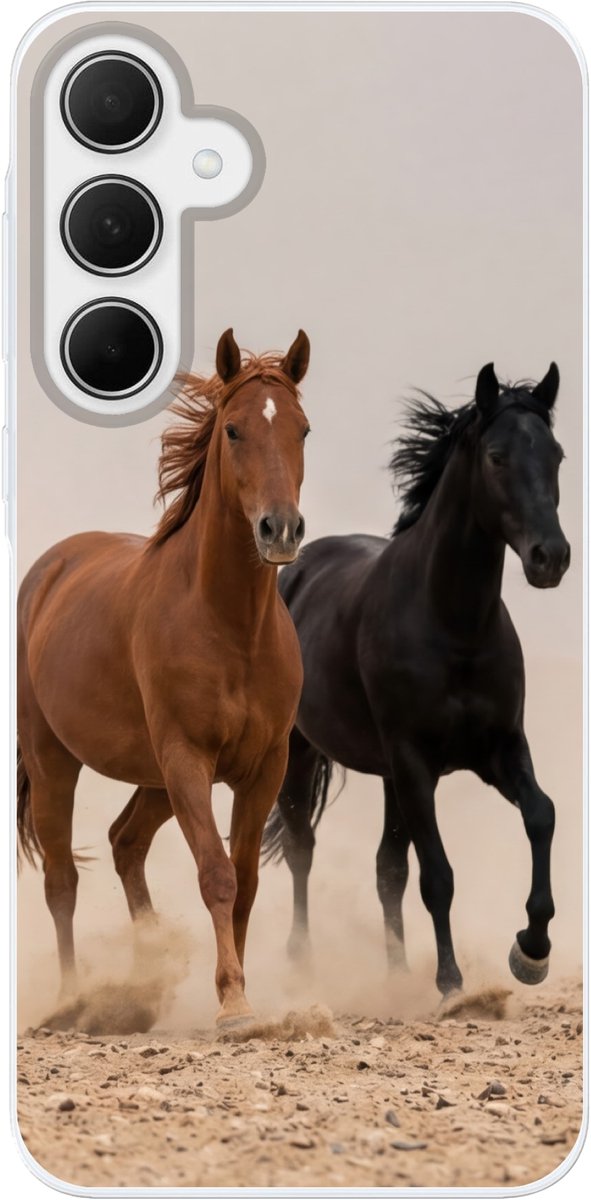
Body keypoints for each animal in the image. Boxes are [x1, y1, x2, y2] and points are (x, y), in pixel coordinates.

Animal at [17, 328, 311, 1026]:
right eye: (232, 429)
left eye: (303, 429)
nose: (281, 529)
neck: (231, 628)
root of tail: (50, 570)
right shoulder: (187, 759)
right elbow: (216, 874)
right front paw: (233, 1005)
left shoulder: (264, 767)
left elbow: (246, 880)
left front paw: (237, 991)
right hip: (55, 760)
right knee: (62, 880)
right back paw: (72, 1000)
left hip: (151, 777)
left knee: (125, 842)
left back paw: (143, 978)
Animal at [261, 362, 570, 997]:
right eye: (497, 456)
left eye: (556, 454)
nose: (550, 557)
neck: (454, 628)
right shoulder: (414, 763)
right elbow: (439, 875)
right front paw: (451, 983)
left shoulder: (499, 750)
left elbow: (541, 814)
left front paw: (531, 951)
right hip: (304, 753)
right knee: (303, 846)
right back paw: (303, 961)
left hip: (387, 777)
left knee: (387, 868)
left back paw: (397, 972)